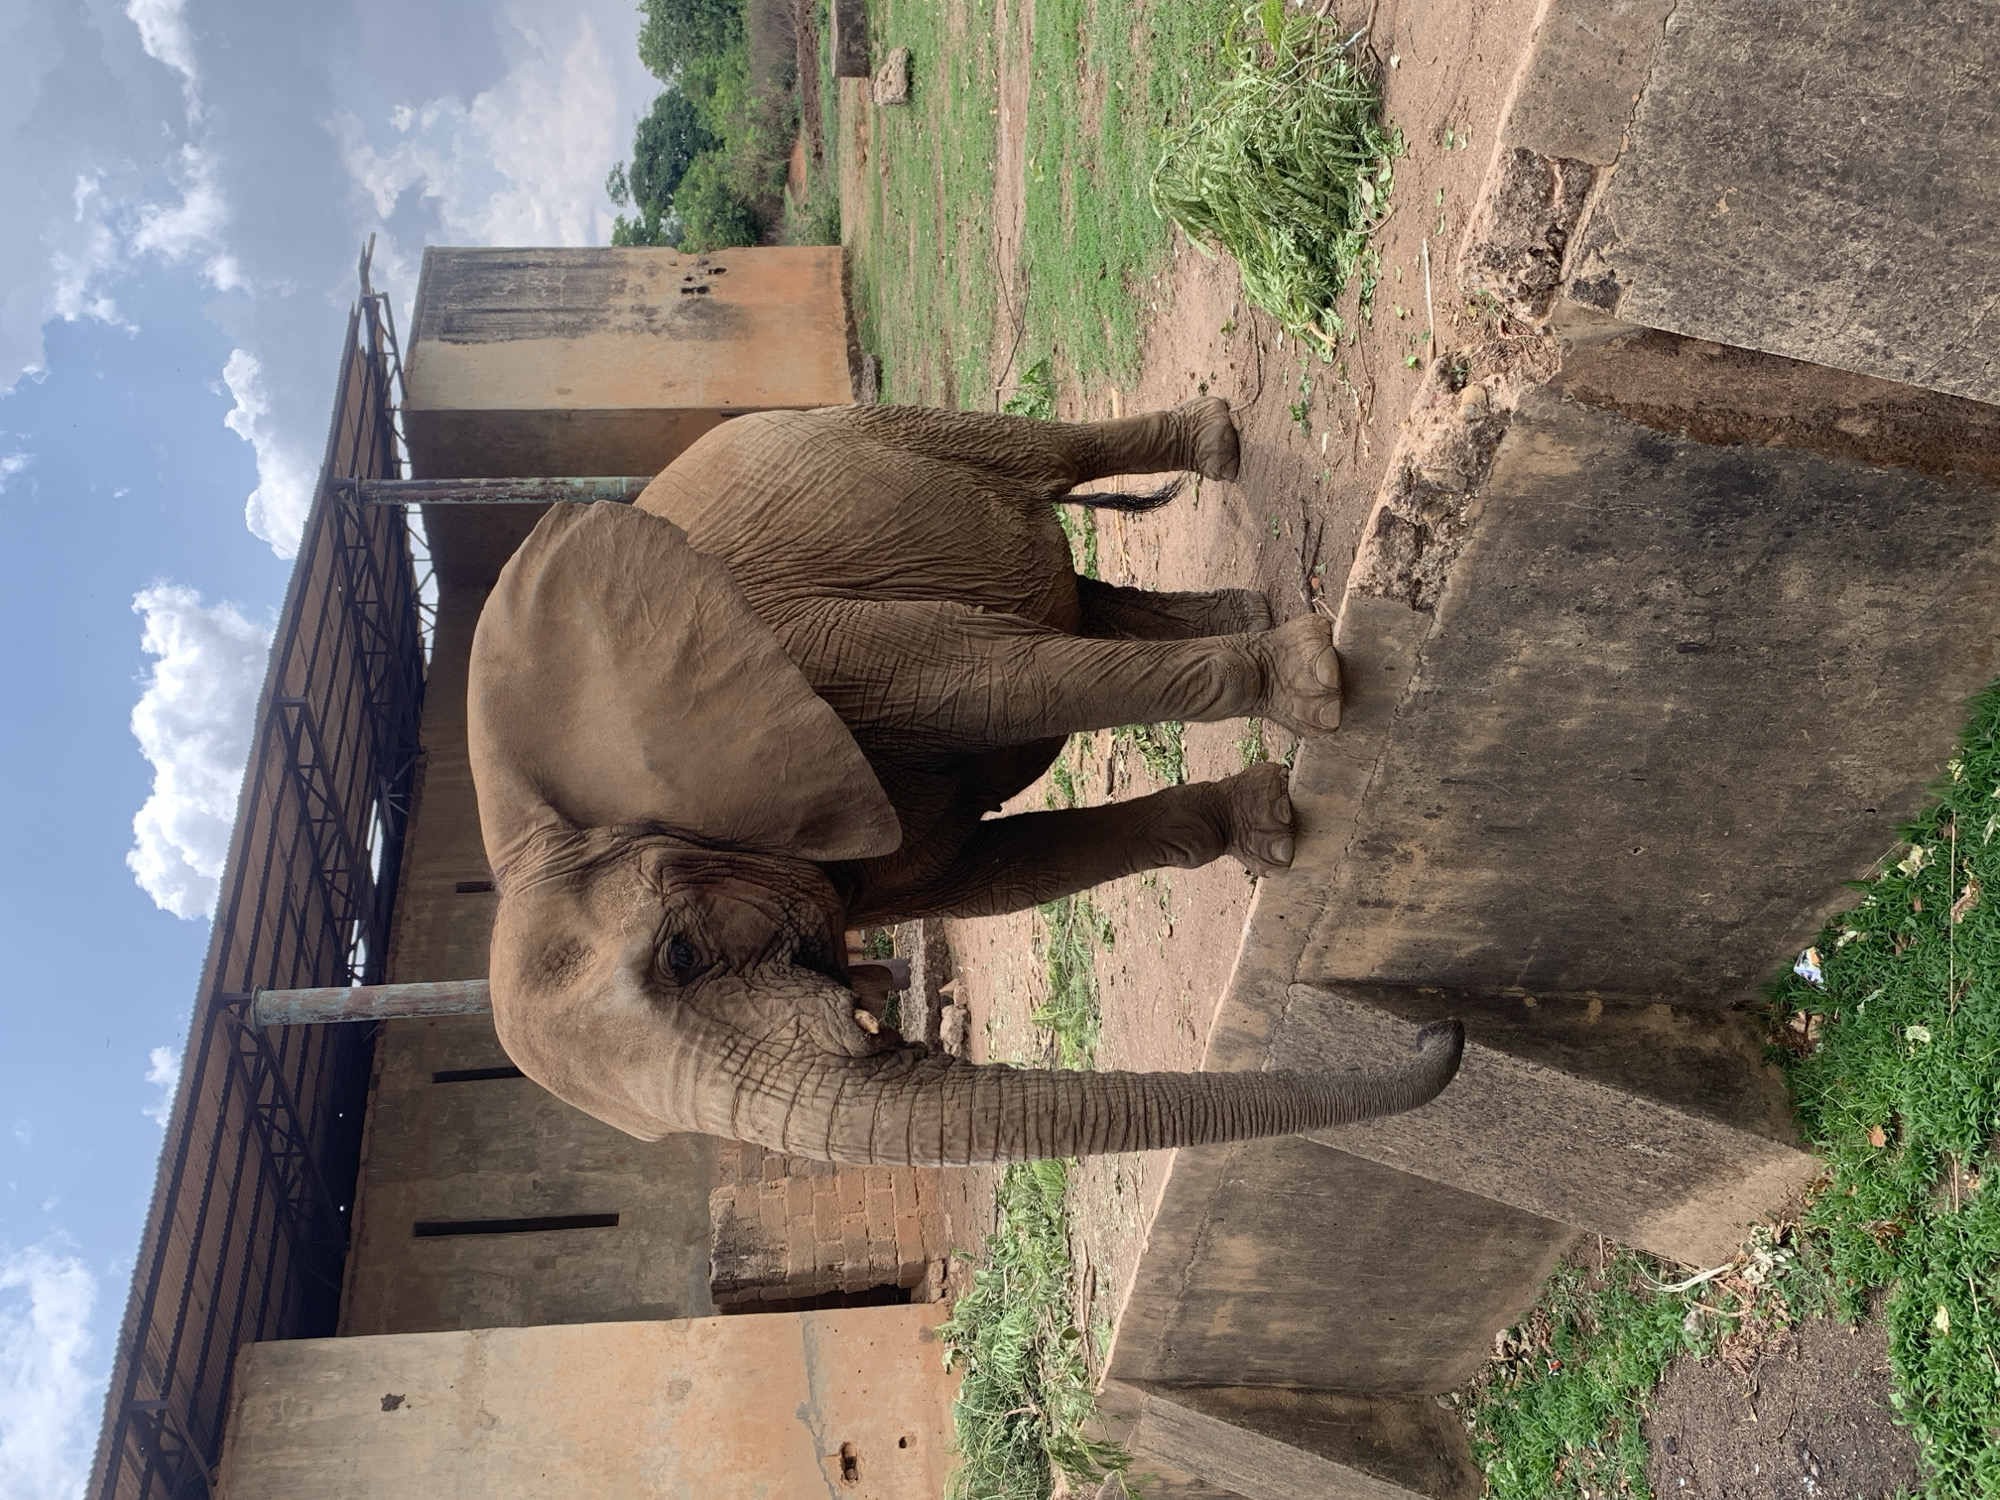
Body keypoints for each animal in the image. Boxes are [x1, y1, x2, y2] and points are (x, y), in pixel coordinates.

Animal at [466, 397, 1462, 1164]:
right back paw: (1246, 607)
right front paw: (1267, 825)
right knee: (1077, 604)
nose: (1437, 1029)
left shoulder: (820, 650)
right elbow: (993, 872)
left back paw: (1219, 454)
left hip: (869, 425)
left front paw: (1312, 690)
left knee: (1035, 463)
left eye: (678, 955)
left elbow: (991, 680)